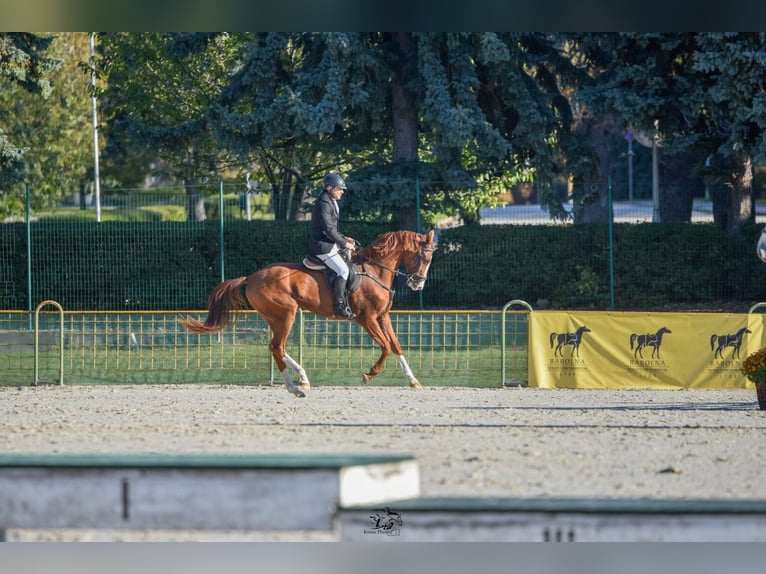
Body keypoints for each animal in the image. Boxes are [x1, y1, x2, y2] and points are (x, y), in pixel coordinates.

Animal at [176, 228, 436, 396]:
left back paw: (301, 379)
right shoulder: (367, 319)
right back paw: (295, 386)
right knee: (277, 347)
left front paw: (413, 380)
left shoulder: (383, 316)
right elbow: (385, 347)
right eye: (425, 257)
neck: (374, 270)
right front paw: (368, 375)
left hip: (276, 317)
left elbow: (396, 346)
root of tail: (250, 278)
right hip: (287, 314)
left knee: (276, 348)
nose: (418, 284)